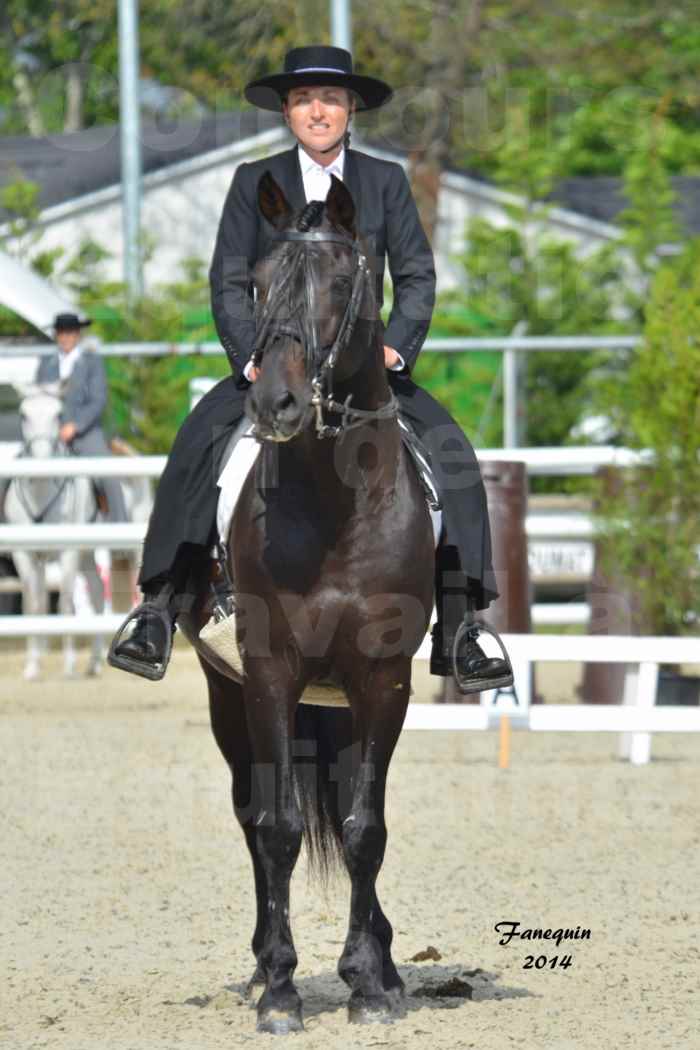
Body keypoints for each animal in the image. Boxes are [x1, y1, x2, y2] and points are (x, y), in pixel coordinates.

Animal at [178, 174, 434, 1033]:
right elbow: (281, 827)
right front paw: (283, 991)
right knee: (252, 815)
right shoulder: (268, 675)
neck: (335, 505)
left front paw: (369, 984)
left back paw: (381, 963)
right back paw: (266, 965)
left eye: (344, 280)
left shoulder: (384, 680)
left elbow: (366, 830)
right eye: (258, 281)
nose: (278, 405)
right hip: (229, 697)